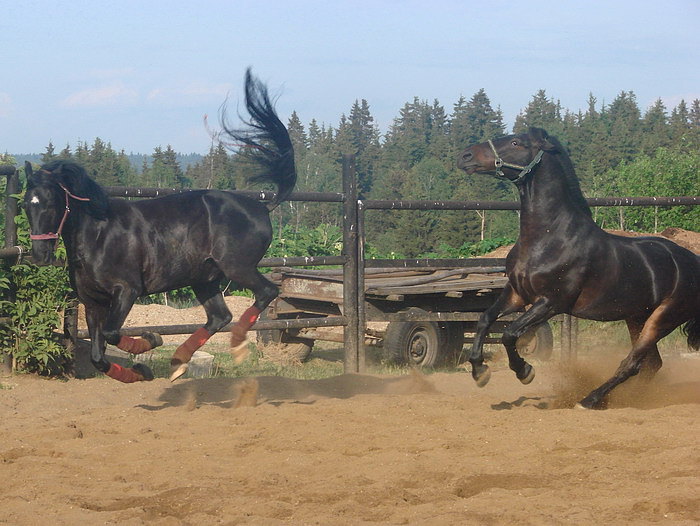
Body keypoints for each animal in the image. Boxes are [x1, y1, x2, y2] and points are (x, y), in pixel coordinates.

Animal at [24, 69, 296, 384]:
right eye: (26, 205)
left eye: (51, 203)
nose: (40, 254)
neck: (98, 237)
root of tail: (262, 208)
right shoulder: (92, 302)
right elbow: (97, 357)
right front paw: (138, 371)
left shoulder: (126, 291)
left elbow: (112, 333)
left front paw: (150, 340)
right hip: (204, 277)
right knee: (219, 317)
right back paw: (178, 361)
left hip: (237, 267)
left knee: (265, 293)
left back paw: (237, 346)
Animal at [460, 130, 700, 410]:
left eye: (516, 143)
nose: (465, 156)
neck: (549, 238)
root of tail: (693, 262)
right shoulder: (517, 294)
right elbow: (485, 319)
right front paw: (480, 373)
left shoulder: (551, 302)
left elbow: (509, 334)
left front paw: (525, 371)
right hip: (637, 317)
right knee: (651, 364)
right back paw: (632, 399)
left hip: (662, 319)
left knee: (631, 364)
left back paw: (589, 400)